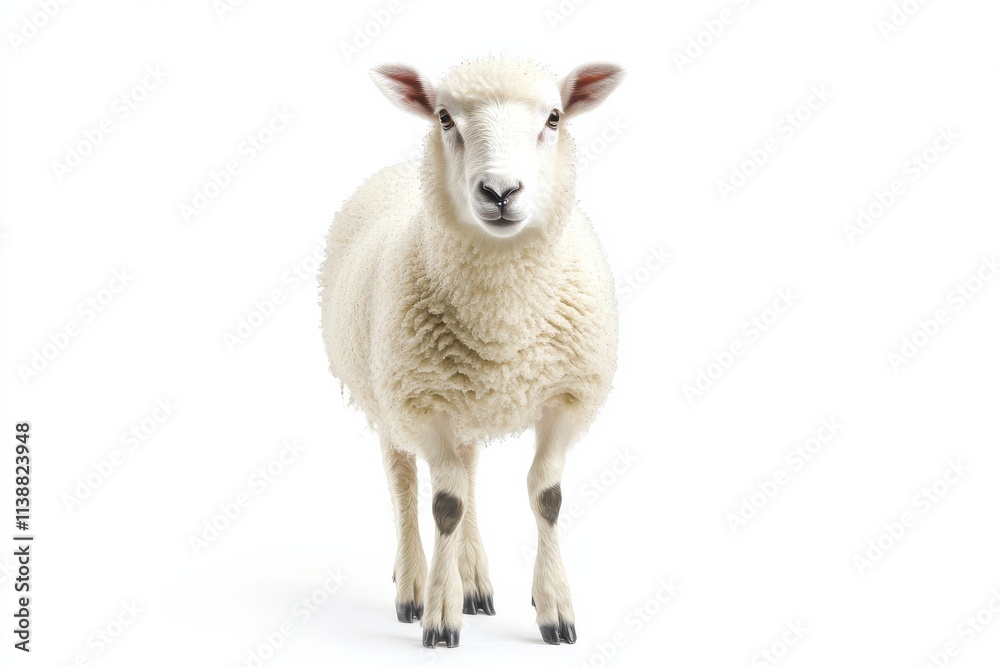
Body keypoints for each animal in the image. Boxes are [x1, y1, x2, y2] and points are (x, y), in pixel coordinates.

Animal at [319, 55, 623, 648]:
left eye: (554, 117)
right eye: (444, 117)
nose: (500, 191)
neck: (502, 324)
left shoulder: (567, 398)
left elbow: (545, 496)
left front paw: (554, 608)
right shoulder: (421, 402)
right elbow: (444, 505)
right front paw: (441, 614)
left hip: (462, 399)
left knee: (467, 471)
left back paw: (474, 578)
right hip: (388, 394)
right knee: (406, 483)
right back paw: (414, 585)